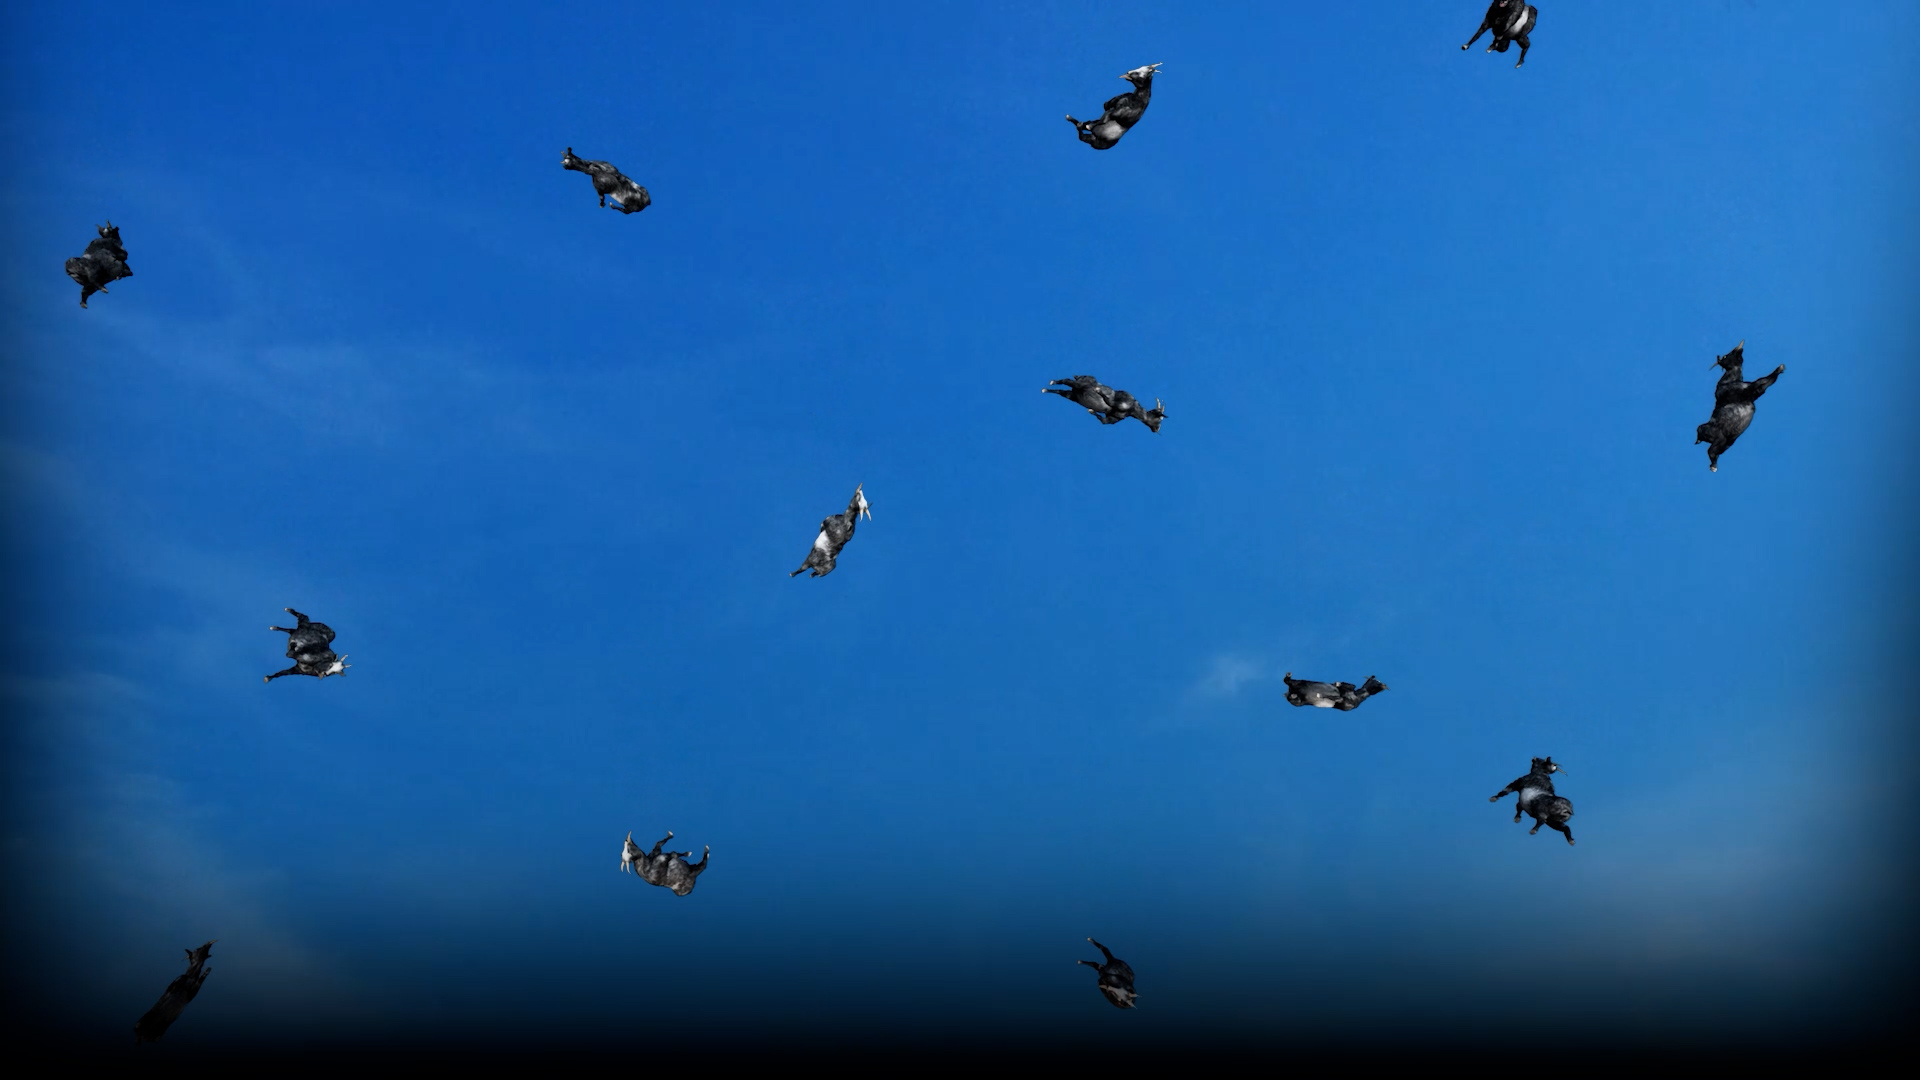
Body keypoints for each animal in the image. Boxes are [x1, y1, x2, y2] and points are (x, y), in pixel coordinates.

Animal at [1695, 341, 1784, 472]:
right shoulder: (1748, 389)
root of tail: (1700, 435)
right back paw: (1713, 467)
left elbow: (1766, 382)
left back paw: (1713, 465)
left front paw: (1780, 369)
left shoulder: (1756, 392)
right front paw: (1780, 368)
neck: (1729, 381)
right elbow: (1761, 381)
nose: (1739, 349)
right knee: (1711, 451)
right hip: (1720, 438)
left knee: (1715, 452)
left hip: (1727, 442)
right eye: (1725, 356)